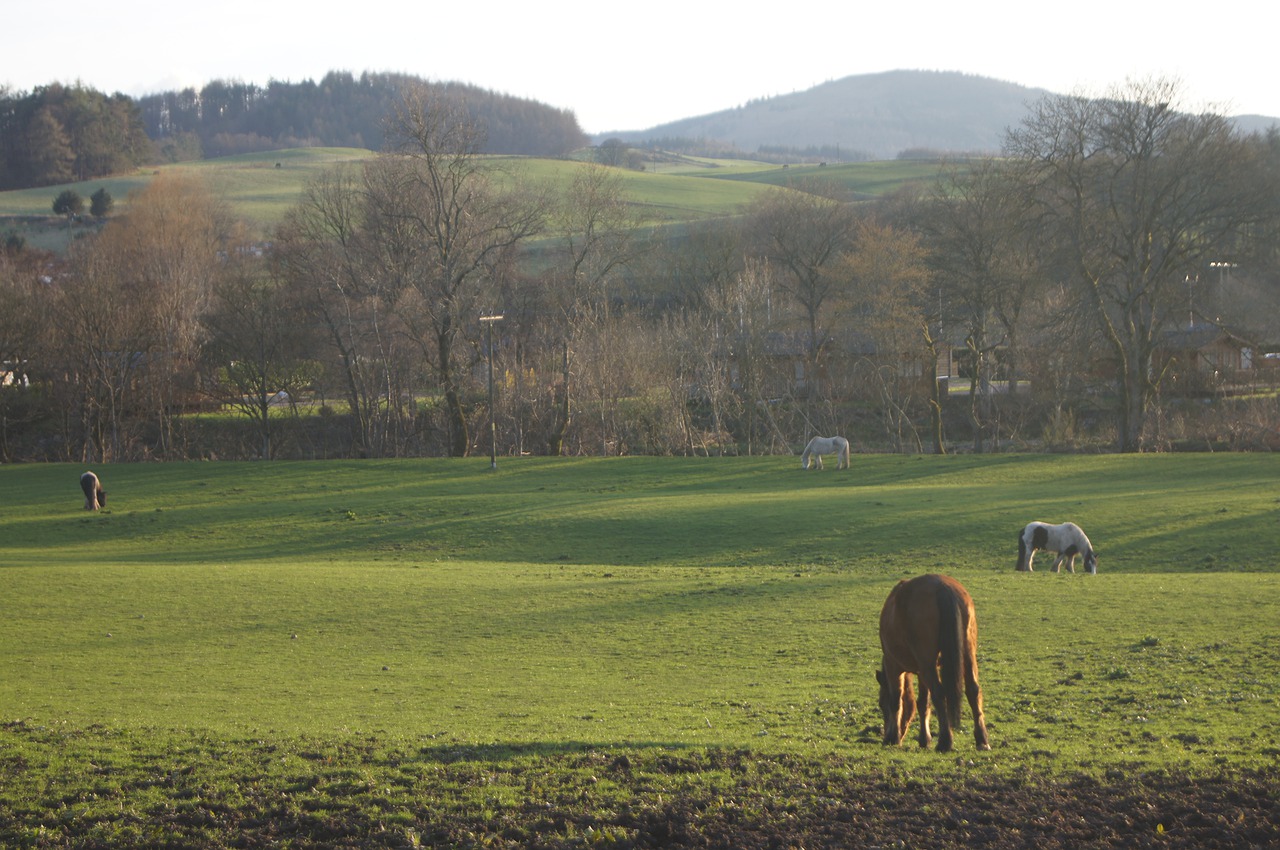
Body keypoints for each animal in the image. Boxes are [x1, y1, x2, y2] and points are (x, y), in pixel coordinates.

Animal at [875, 578, 993, 752]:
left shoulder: (893, 665)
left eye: (881, 704)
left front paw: (893, 737)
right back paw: (982, 740)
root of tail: (943, 587)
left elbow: (896, 700)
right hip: (966, 655)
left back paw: (945, 741)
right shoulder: (921, 671)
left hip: (927, 664)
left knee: (939, 693)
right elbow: (923, 703)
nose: (884, 736)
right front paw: (924, 739)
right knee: (973, 690)